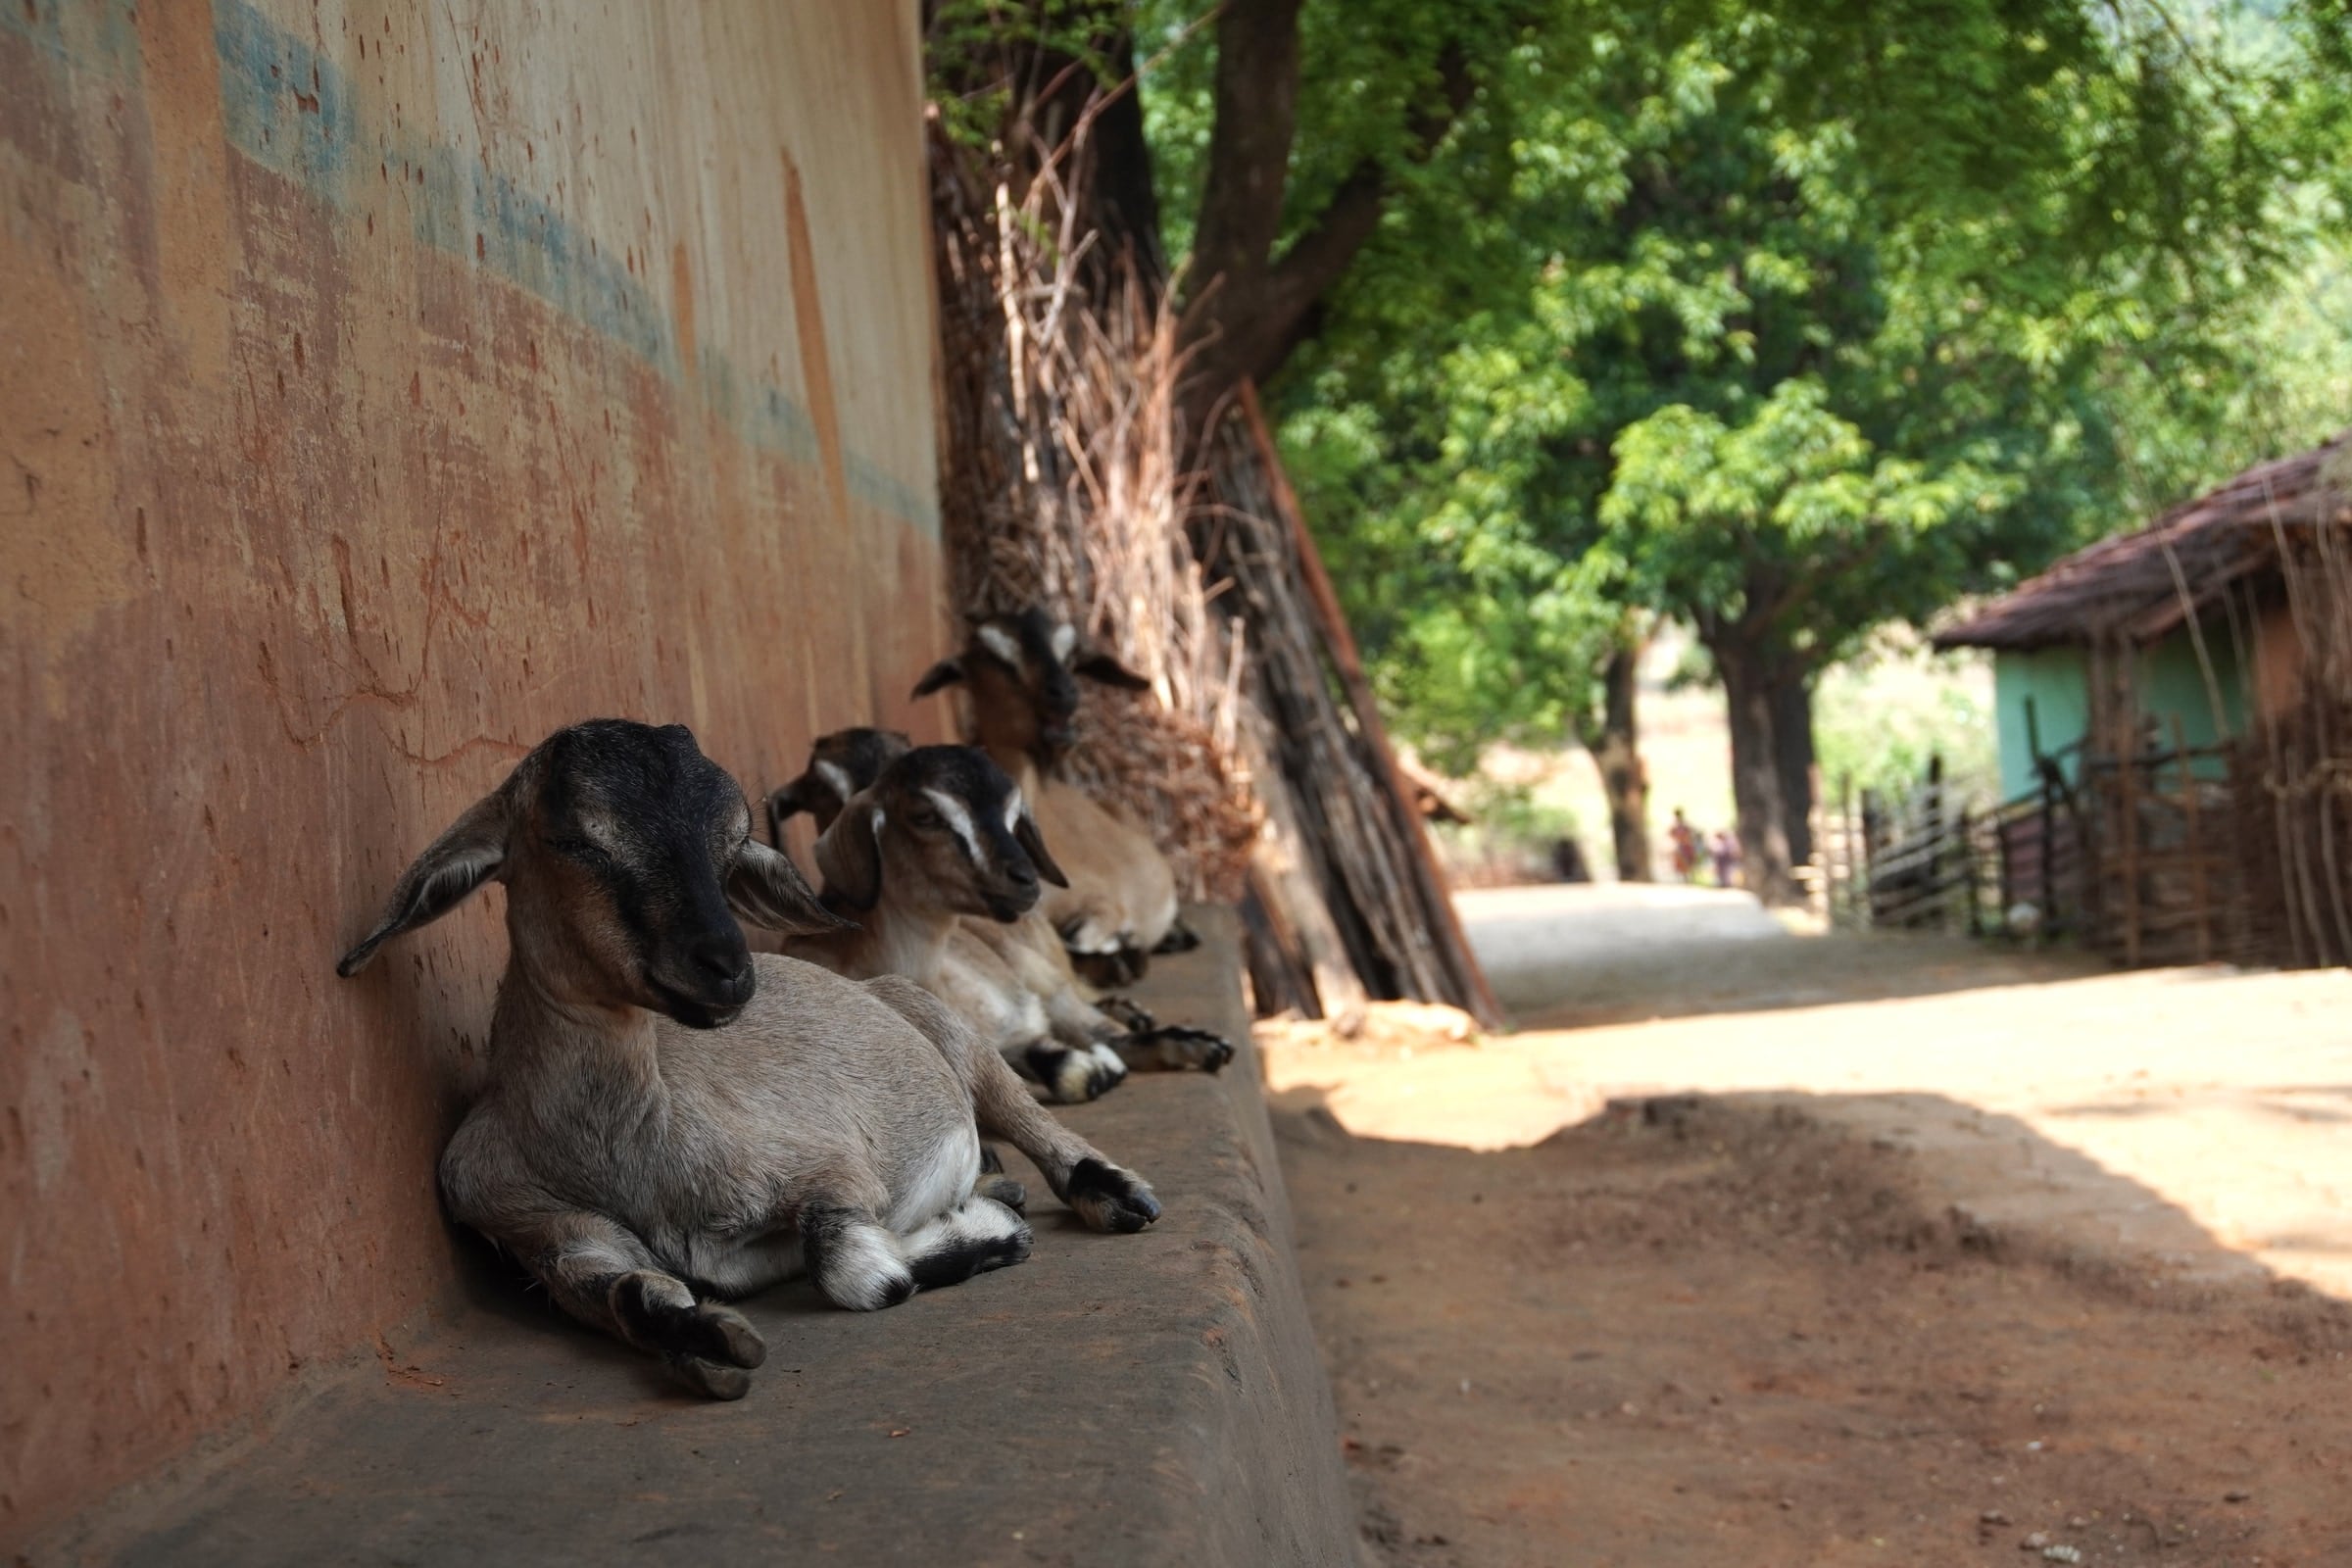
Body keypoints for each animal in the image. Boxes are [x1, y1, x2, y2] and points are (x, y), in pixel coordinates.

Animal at [335, 719, 1159, 1400]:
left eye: (732, 843)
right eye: (572, 839)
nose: (727, 966)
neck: (622, 1148)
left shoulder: (828, 1167)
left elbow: (857, 1268)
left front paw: (988, 1230)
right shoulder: (543, 1231)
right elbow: (629, 1293)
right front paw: (703, 1340)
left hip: (950, 1033)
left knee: (1024, 1112)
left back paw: (1107, 1191)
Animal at [776, 736, 1233, 1103]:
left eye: (1013, 816)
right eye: (925, 815)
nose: (1026, 880)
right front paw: (1091, 1068)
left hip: (1042, 974)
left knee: (1098, 1020)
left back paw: (1193, 1041)